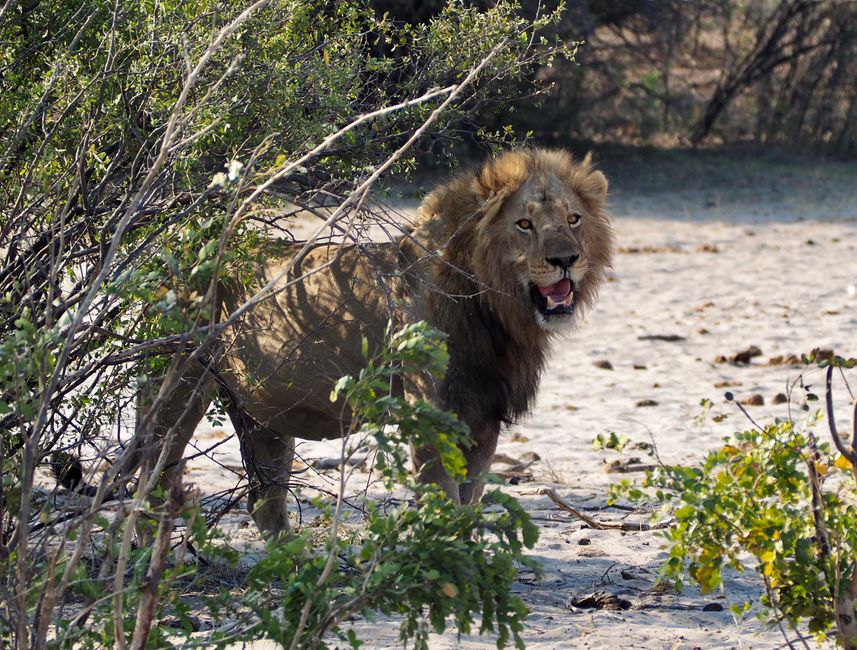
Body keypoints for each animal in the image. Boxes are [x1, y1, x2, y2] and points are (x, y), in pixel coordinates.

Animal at [144, 148, 612, 536]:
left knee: (266, 505)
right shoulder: (433, 413)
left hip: (263, 412)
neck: (492, 308)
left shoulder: (483, 414)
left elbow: (469, 502)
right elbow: (445, 500)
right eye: (524, 224)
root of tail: (183, 244)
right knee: (152, 473)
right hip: (179, 383)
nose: (565, 259)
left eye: (573, 219)